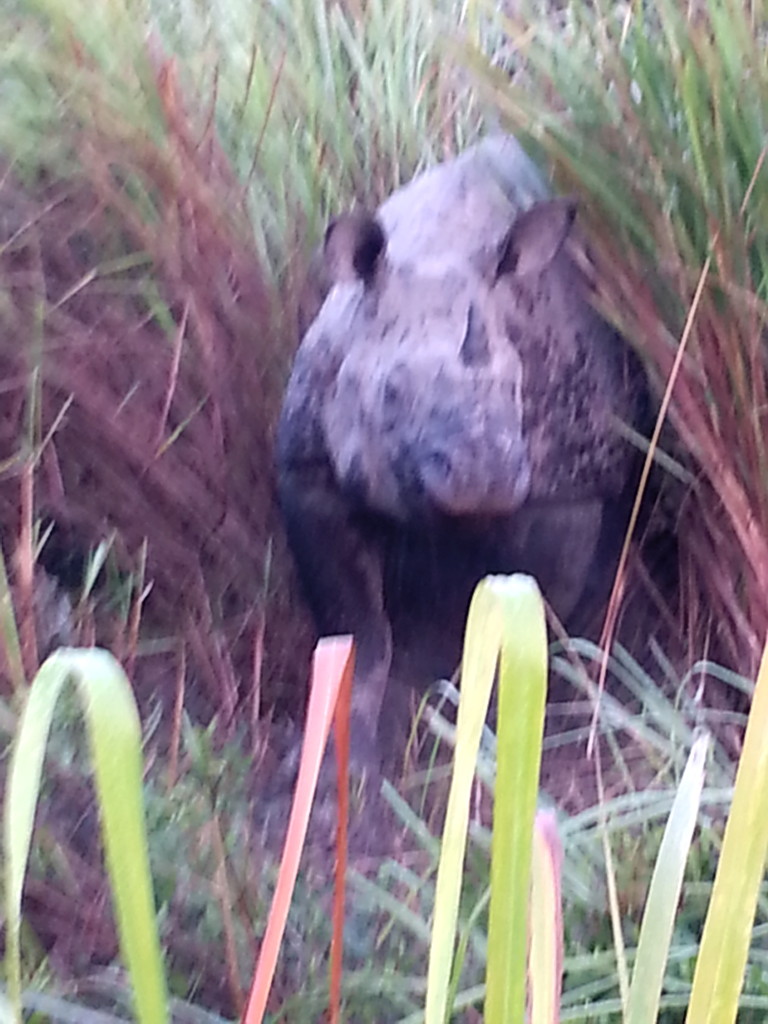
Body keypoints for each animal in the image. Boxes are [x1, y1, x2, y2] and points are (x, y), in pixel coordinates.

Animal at [276, 134, 651, 761]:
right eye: (391, 393)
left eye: (517, 390)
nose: (485, 476)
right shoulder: (308, 473)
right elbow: (354, 624)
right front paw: (338, 750)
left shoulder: (566, 492)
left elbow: (531, 618)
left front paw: (502, 730)